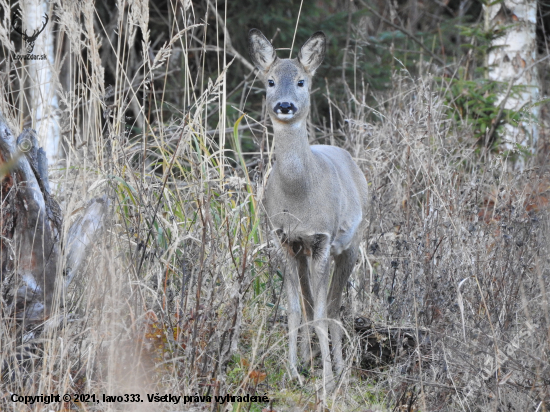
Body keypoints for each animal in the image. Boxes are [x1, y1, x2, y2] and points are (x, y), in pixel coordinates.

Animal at [250, 28, 370, 390]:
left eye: (302, 81)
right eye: (271, 81)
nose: (285, 105)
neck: (299, 198)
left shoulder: (322, 239)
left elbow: (320, 311)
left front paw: (328, 379)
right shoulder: (285, 239)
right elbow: (293, 309)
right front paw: (292, 372)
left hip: (350, 245)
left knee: (332, 305)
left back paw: (341, 367)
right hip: (305, 252)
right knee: (308, 302)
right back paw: (307, 359)